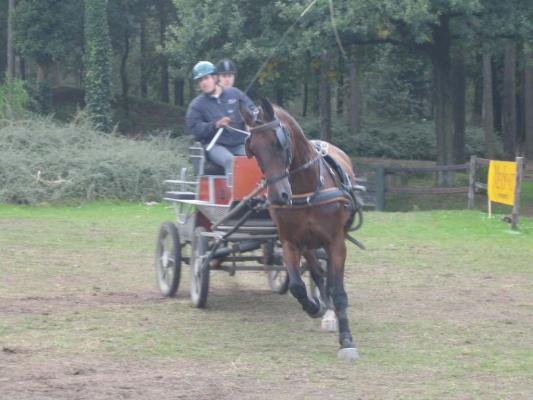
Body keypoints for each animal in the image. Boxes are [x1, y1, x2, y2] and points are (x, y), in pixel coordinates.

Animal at [242, 99, 360, 360]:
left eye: (278, 143)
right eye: (253, 149)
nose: (278, 196)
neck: (307, 188)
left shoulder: (336, 242)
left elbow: (338, 290)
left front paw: (346, 340)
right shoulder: (290, 242)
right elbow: (297, 285)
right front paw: (313, 307)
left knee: (329, 277)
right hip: (308, 245)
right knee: (317, 273)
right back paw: (323, 306)